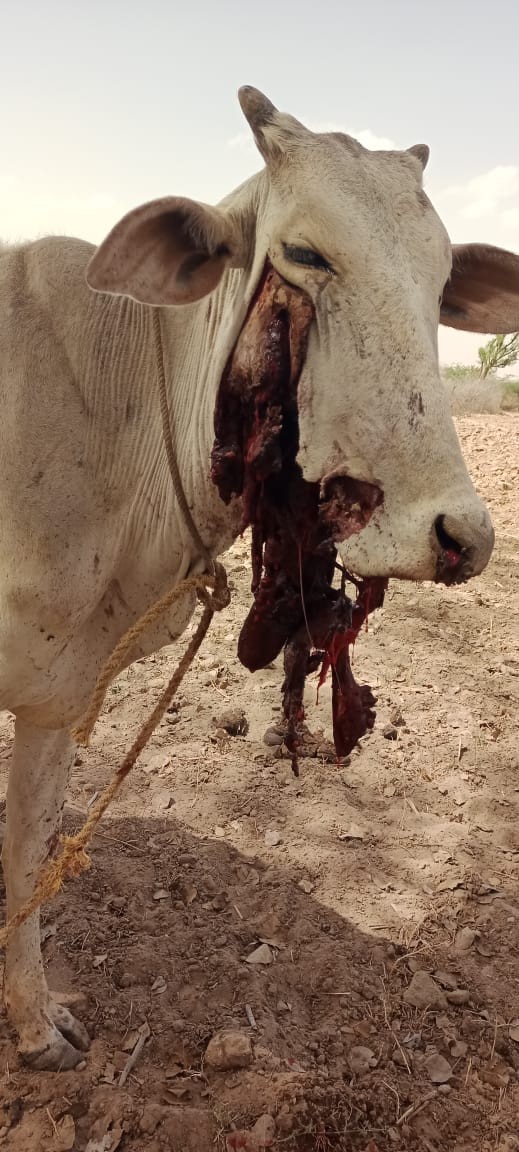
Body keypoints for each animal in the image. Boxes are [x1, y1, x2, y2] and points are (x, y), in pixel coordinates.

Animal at [1, 83, 519, 1069]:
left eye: (439, 282)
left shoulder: (54, 696)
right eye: (305, 254)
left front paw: (37, 1026)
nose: (458, 537)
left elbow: (29, 857)